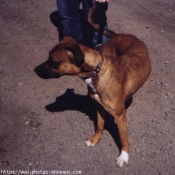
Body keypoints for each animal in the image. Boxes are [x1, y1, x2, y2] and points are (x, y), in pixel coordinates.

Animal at [34, 29, 151, 166]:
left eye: (54, 62)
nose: (35, 70)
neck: (96, 73)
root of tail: (118, 35)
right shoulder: (99, 107)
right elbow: (100, 125)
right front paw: (95, 139)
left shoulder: (120, 117)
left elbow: (123, 138)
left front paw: (124, 156)